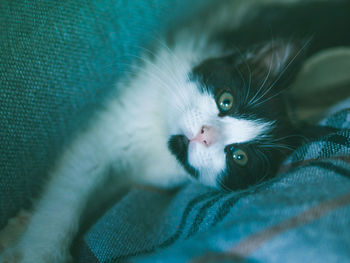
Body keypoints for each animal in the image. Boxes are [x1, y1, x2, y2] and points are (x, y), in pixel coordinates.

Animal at [0, 0, 350, 263]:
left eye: (239, 156)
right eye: (226, 100)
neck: (159, 139)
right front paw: (36, 247)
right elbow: (72, 189)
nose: (205, 134)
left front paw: (23, 238)